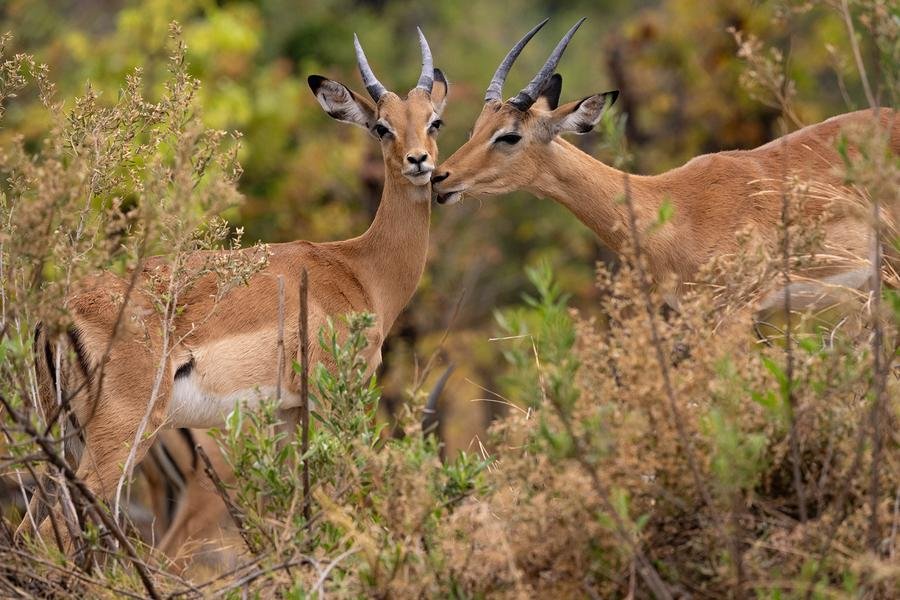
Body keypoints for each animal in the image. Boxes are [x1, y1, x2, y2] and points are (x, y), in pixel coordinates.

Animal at [19, 28, 449, 551]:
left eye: (434, 121)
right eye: (383, 127)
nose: (419, 162)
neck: (359, 268)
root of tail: (56, 313)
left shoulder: (288, 412)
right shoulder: (331, 400)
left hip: (65, 439)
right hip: (121, 435)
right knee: (55, 530)